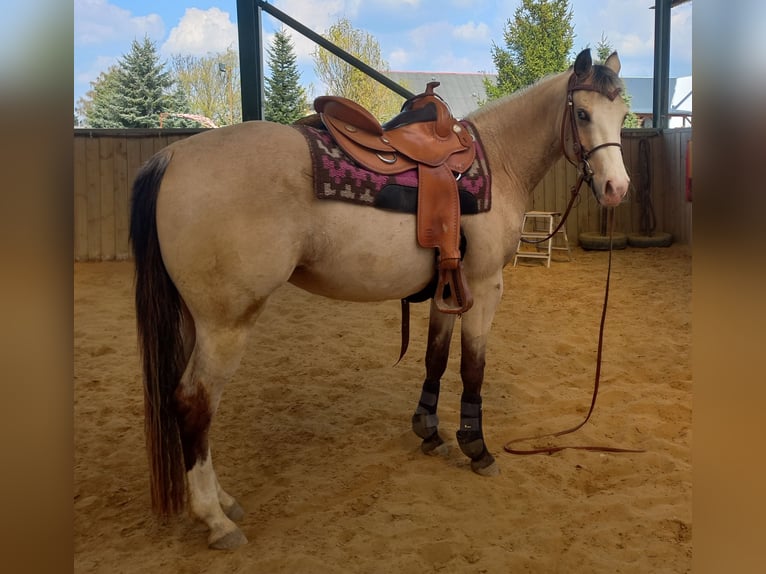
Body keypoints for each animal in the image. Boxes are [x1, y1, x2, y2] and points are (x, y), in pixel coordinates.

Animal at [130, 48, 632, 548]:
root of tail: (173, 155)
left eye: (624, 113)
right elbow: (473, 366)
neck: (498, 161)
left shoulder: (449, 287)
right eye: (582, 114)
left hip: (197, 320)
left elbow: (435, 358)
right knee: (195, 402)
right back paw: (216, 520)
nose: (617, 189)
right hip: (226, 325)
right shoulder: (486, 285)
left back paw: (224, 500)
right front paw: (476, 447)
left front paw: (429, 432)